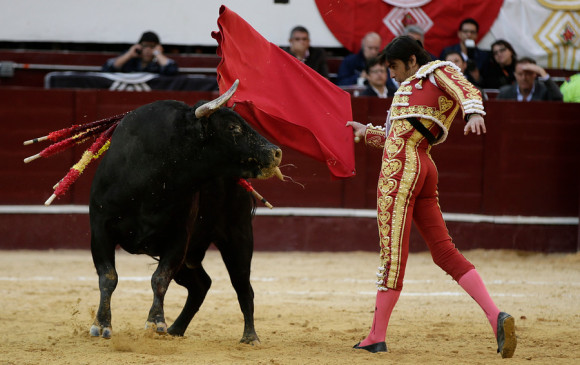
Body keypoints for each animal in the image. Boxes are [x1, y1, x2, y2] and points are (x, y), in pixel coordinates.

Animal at [86, 80, 284, 344]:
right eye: (232, 127)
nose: (276, 152)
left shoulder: (178, 238)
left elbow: (159, 278)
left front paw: (155, 322)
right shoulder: (100, 230)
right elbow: (108, 277)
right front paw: (102, 325)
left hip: (238, 236)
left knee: (242, 285)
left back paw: (250, 336)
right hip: (192, 256)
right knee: (201, 285)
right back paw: (176, 329)